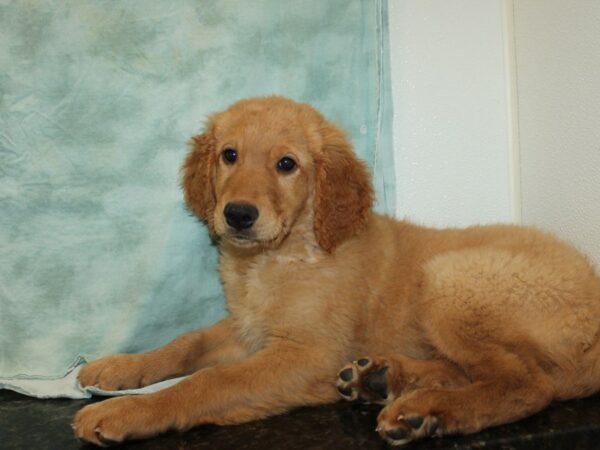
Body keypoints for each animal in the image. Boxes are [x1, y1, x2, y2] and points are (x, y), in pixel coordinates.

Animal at [74, 96, 600, 446]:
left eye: (287, 164)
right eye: (229, 155)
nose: (238, 214)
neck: (275, 258)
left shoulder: (307, 353)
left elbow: (208, 382)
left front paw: (129, 411)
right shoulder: (248, 329)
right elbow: (186, 343)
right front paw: (118, 367)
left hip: (449, 280)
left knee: (528, 383)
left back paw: (427, 409)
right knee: (480, 370)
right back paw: (384, 379)